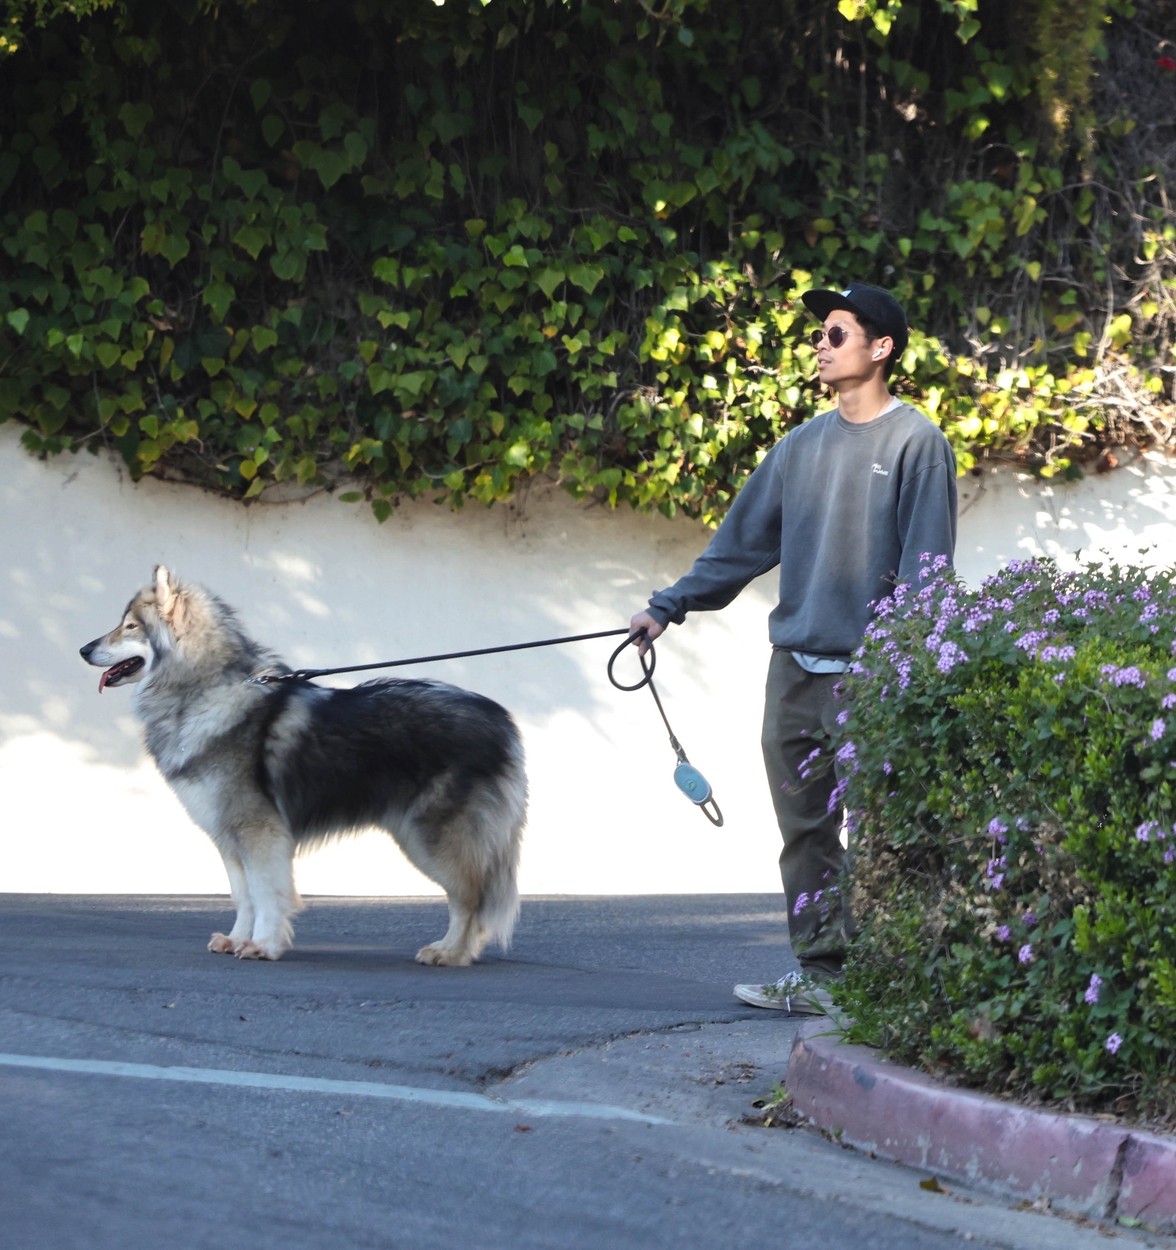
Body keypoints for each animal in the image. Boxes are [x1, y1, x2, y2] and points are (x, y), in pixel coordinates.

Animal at [78, 567, 522, 965]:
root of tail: (501, 720)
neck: (208, 690)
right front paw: (237, 939)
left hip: (431, 838)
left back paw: (451, 953)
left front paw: (263, 945)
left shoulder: (260, 832)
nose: (83, 650)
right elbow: (243, 895)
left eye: (130, 626)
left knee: (469, 898)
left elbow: (266, 893)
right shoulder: (229, 837)